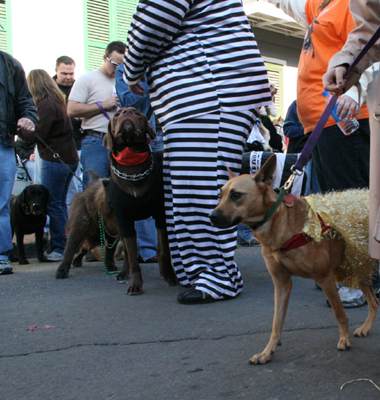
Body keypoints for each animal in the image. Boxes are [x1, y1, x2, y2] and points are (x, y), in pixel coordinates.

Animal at [101, 106, 177, 294]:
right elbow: (131, 254)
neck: (133, 168)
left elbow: (164, 250)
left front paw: (170, 275)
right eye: (116, 115)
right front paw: (135, 284)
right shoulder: (125, 220)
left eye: (136, 113)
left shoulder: (160, 215)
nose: (127, 112)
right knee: (128, 254)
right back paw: (123, 272)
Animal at [209, 155, 378, 366]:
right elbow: (276, 322)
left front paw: (344, 339)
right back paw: (366, 327)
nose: (212, 217)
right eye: (221, 195)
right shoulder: (281, 283)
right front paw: (267, 351)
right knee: (374, 302)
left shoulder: (325, 278)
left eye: (236, 195)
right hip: (356, 265)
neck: (282, 223)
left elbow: (339, 313)